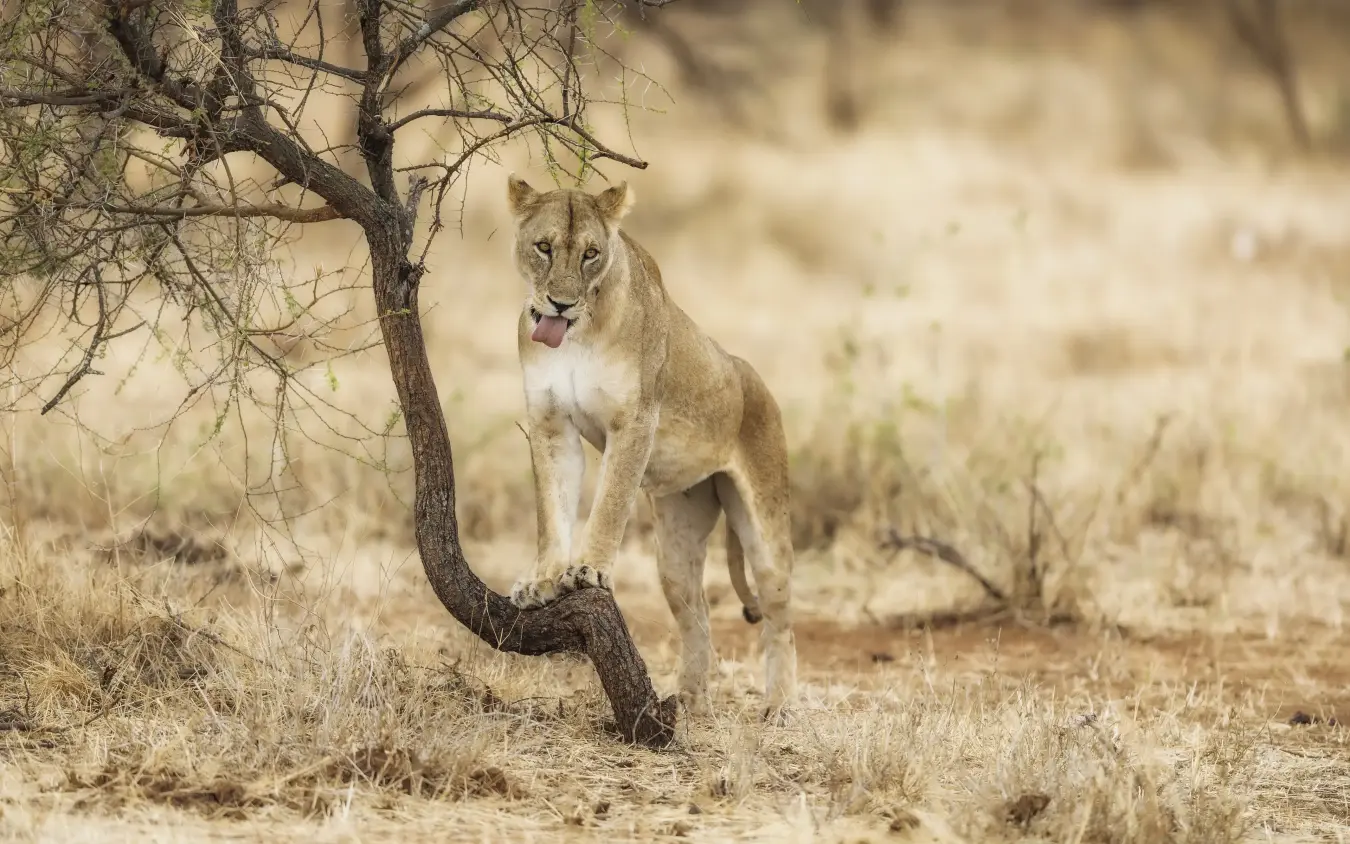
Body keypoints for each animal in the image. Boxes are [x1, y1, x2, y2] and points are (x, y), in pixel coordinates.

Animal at [503, 173, 798, 716]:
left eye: (591, 254)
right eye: (543, 247)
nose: (560, 303)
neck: (576, 334)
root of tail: (752, 377)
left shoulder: (635, 421)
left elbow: (610, 503)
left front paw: (588, 572)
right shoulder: (550, 423)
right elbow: (551, 509)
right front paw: (542, 581)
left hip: (765, 525)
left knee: (780, 616)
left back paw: (779, 705)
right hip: (677, 543)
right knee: (698, 616)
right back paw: (690, 702)